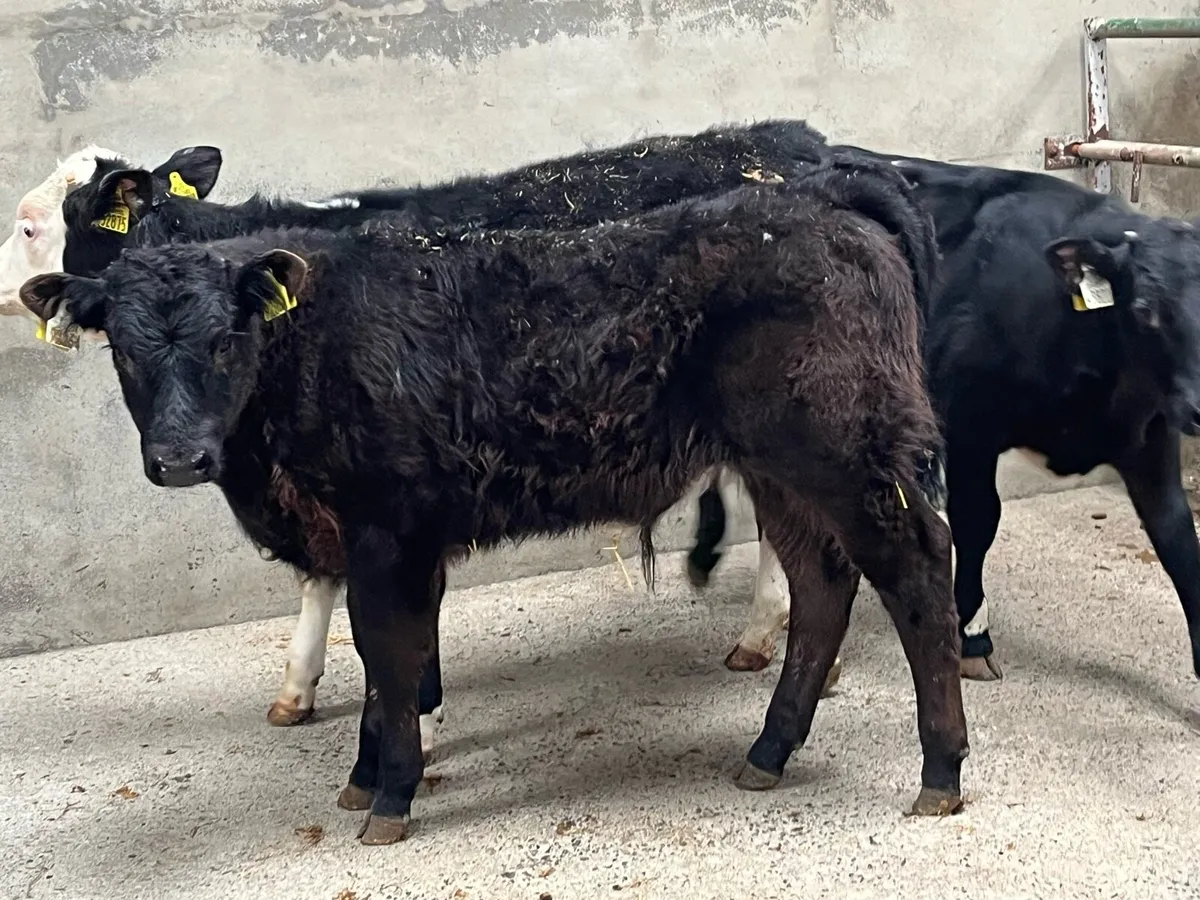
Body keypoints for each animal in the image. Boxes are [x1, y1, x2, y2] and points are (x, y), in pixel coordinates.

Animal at [687, 153, 1200, 685]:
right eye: (1145, 309)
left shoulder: (1150, 441)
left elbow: (1178, 539)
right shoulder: (972, 426)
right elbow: (979, 520)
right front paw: (973, 637)